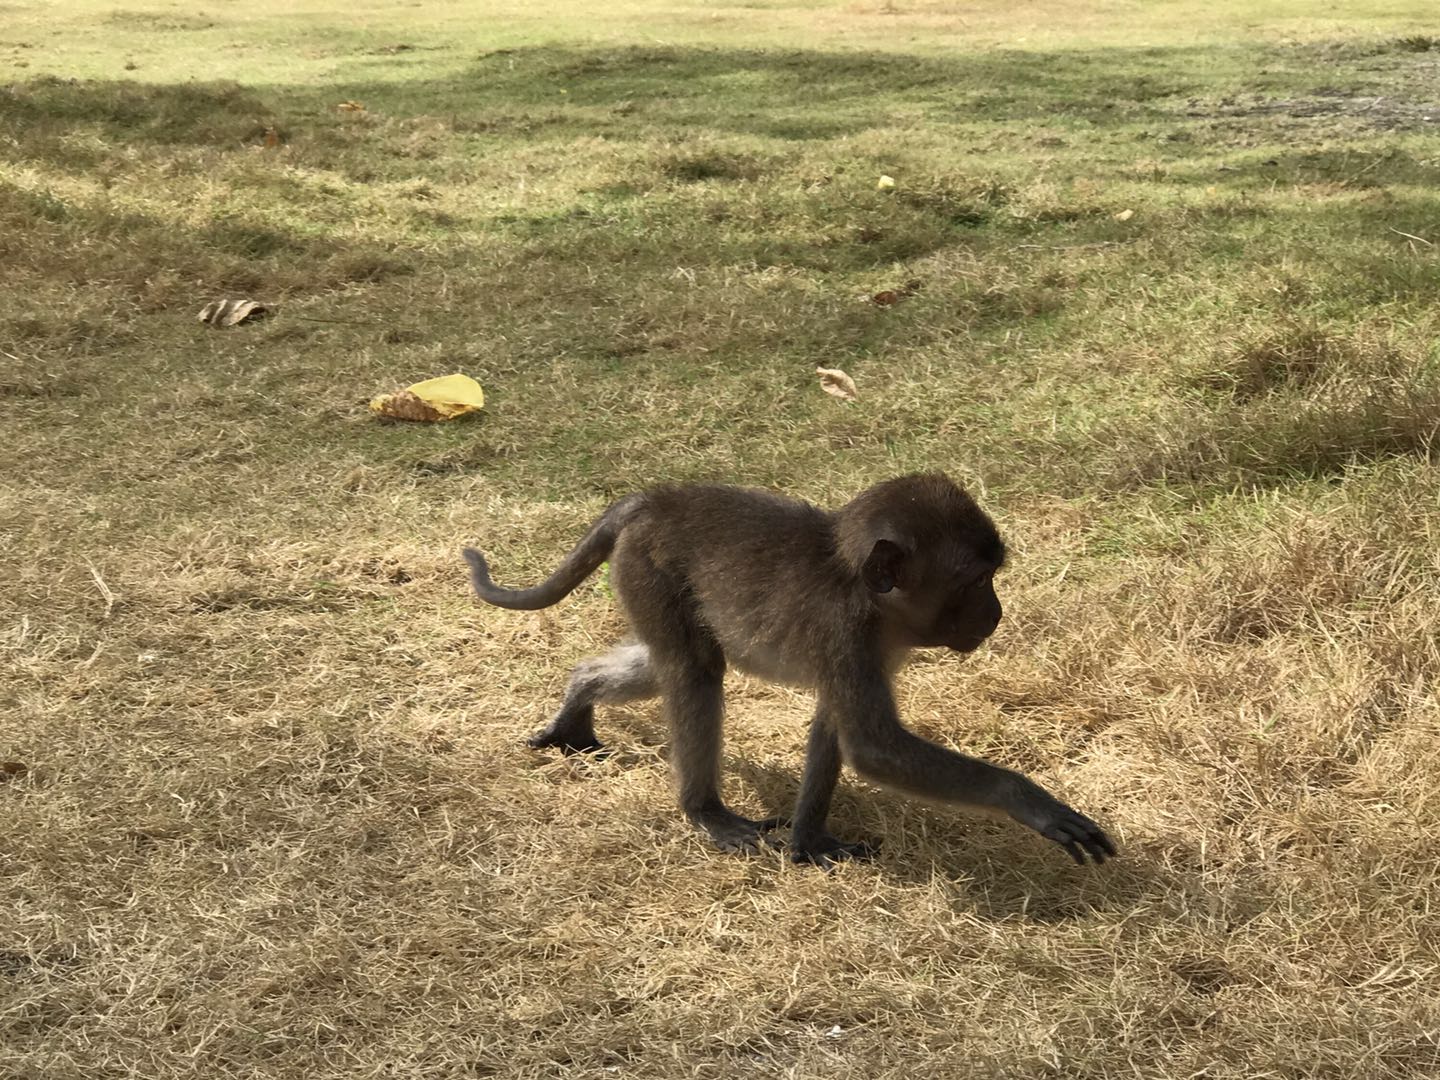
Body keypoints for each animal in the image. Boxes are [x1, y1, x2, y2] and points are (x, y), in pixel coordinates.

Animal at [466, 472, 1117, 869]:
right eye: (976, 581)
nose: (996, 612)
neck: (862, 590)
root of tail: (659, 500)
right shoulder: (845, 634)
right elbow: (873, 747)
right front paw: (1028, 802)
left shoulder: (865, 651)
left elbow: (835, 726)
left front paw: (809, 841)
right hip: (646, 568)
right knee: (694, 670)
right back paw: (704, 811)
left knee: (673, 665)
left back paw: (578, 697)